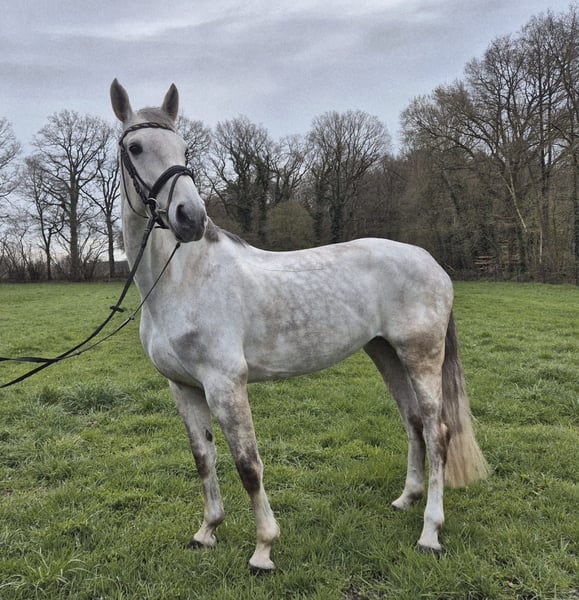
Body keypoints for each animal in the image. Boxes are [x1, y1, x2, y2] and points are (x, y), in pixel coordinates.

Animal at [109, 80, 489, 571]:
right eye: (135, 147)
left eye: (184, 147)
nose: (189, 218)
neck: (182, 279)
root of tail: (431, 262)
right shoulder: (184, 386)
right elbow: (203, 458)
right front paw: (207, 531)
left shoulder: (226, 384)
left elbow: (248, 464)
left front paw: (263, 549)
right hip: (385, 352)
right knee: (412, 423)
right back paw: (407, 499)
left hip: (421, 356)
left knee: (437, 431)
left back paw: (430, 532)